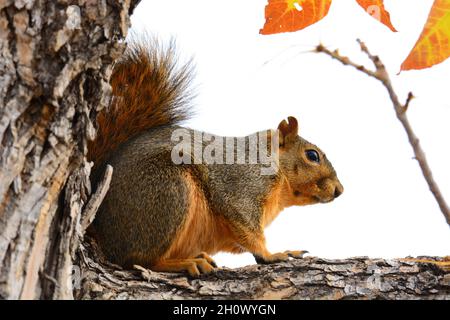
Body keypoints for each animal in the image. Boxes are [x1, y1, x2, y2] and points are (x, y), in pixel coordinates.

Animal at [88, 38, 342, 278]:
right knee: (138, 259)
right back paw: (183, 263)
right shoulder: (243, 187)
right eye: (312, 155)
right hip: (167, 193)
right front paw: (274, 254)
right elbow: (247, 228)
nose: (340, 190)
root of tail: (102, 231)